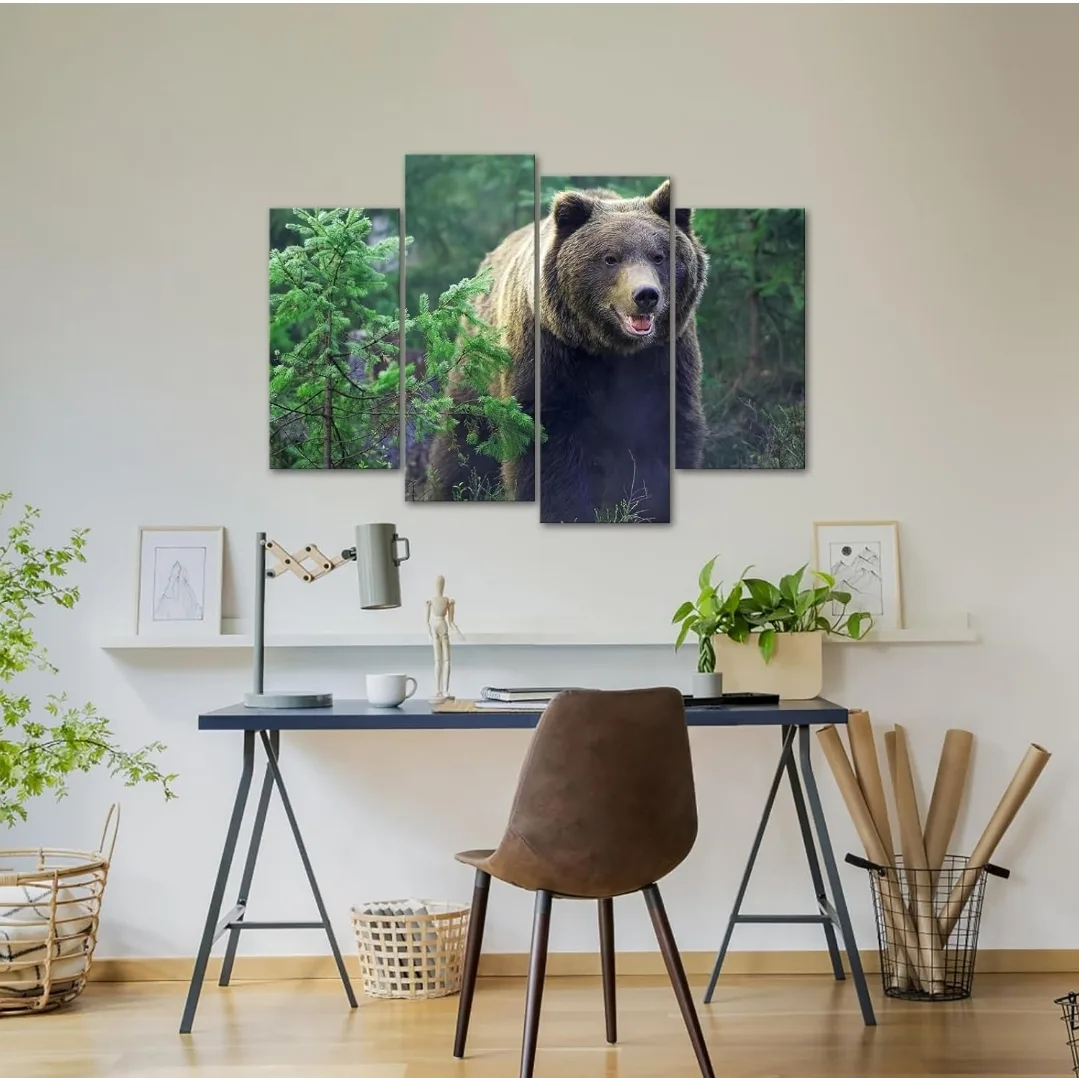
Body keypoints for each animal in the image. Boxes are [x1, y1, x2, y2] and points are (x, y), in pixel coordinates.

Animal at [424, 179, 708, 520]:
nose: (645, 295)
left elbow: (664, 433)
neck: (610, 348)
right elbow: (547, 444)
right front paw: (563, 509)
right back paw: (451, 490)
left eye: (659, 256)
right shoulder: (552, 354)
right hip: (479, 365)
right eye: (610, 258)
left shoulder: (664, 358)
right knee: (462, 433)